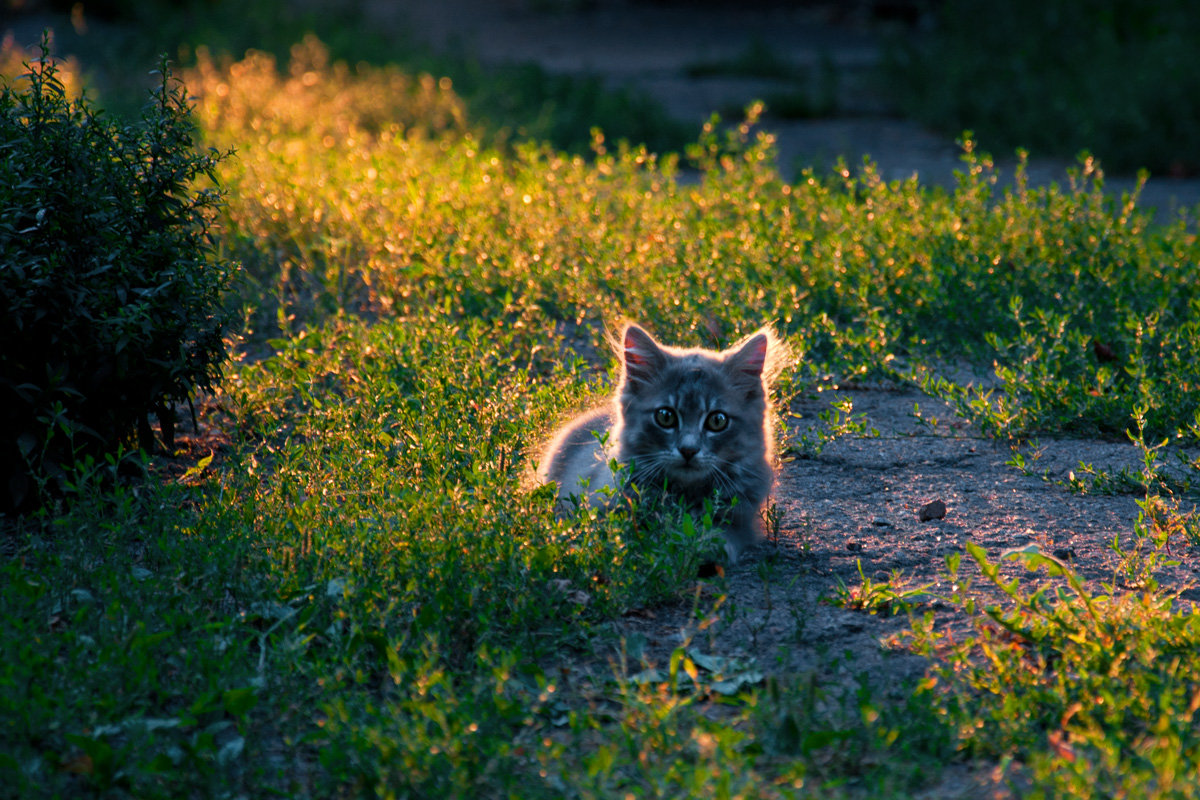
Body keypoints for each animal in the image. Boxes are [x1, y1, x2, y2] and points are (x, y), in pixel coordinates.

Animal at [537, 323, 787, 563]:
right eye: (665, 417)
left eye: (718, 420)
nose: (688, 450)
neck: (685, 495)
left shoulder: (742, 520)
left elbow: (722, 535)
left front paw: (699, 545)